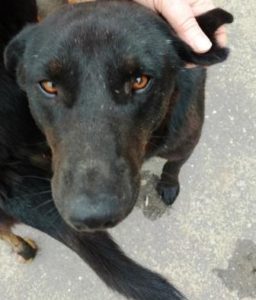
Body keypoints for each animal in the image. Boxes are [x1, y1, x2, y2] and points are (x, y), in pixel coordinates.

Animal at [0, 1, 233, 298]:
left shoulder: (186, 142)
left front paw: (168, 185)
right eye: (49, 85)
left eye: (140, 80)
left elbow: (173, 167)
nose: (93, 216)